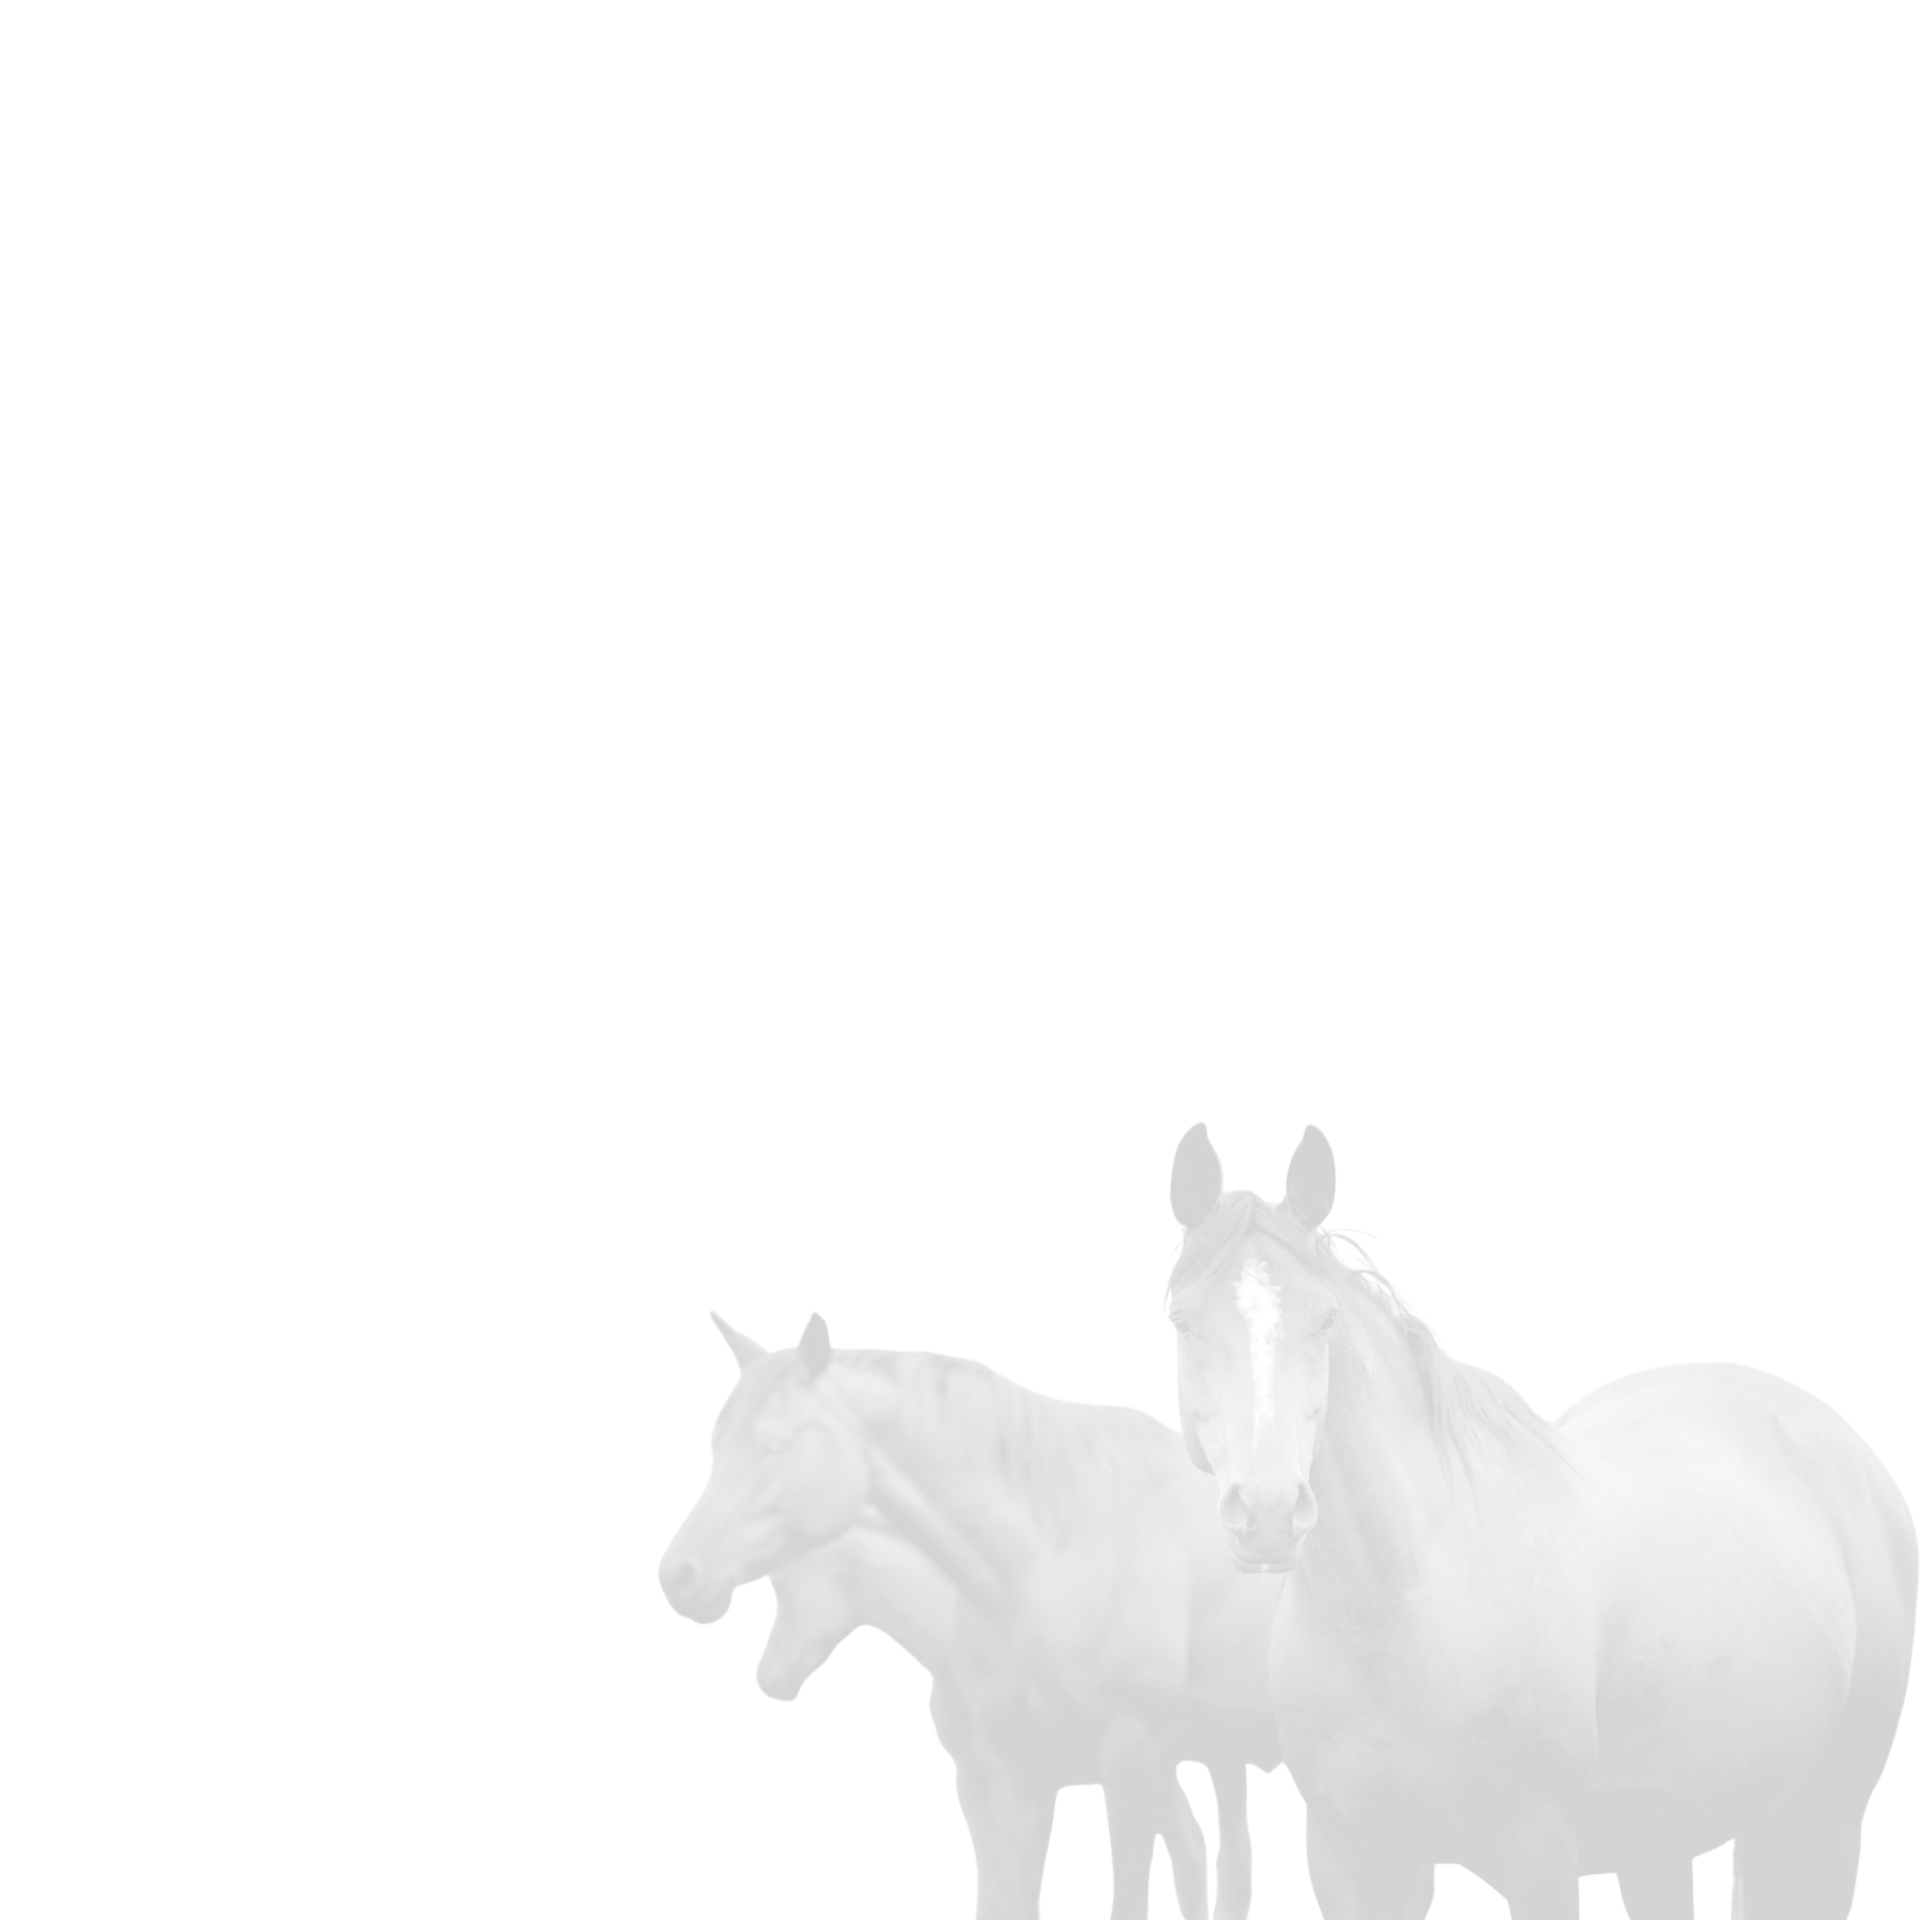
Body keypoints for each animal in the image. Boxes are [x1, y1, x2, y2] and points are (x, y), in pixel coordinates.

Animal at [1164, 1121, 1918, 1919]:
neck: (1414, 1599)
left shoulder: (1533, 1838)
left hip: (1830, 1814)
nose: (1270, 1510)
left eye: (1326, 1319)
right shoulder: (1346, 1850)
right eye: (1182, 1320)